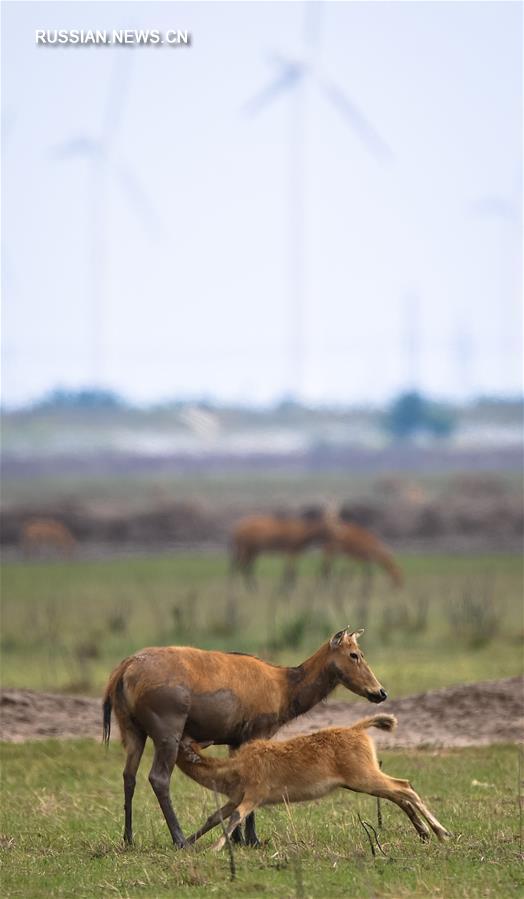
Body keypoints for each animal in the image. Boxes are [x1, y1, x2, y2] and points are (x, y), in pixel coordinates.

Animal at [102, 624, 384, 852]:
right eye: (354, 654)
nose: (380, 692)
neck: (286, 694)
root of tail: (122, 671)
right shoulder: (258, 730)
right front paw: (253, 839)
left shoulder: (234, 739)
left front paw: (237, 838)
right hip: (167, 728)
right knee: (158, 778)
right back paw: (180, 839)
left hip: (131, 729)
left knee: (128, 776)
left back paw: (128, 838)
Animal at [177, 716, 450, 852]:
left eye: (182, 742)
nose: (172, 737)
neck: (234, 767)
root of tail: (357, 729)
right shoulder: (236, 798)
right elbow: (213, 817)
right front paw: (187, 842)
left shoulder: (254, 795)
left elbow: (235, 817)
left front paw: (215, 848)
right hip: (363, 781)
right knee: (398, 794)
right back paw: (424, 833)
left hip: (364, 777)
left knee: (405, 787)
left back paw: (441, 832)